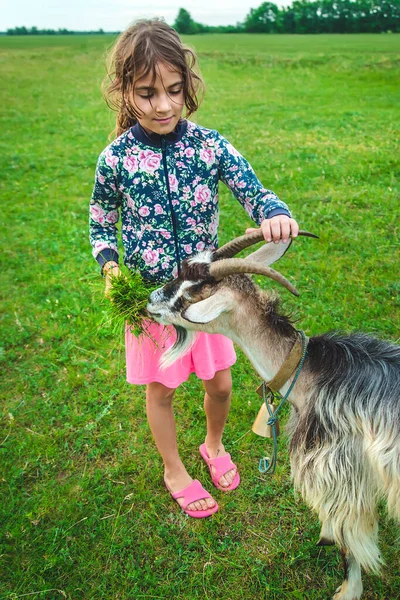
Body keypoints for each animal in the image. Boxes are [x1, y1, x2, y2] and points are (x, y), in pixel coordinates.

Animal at [148, 231, 400, 600]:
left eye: (192, 292)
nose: (150, 300)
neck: (309, 372)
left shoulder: (338, 472)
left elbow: (348, 540)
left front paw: (347, 590)